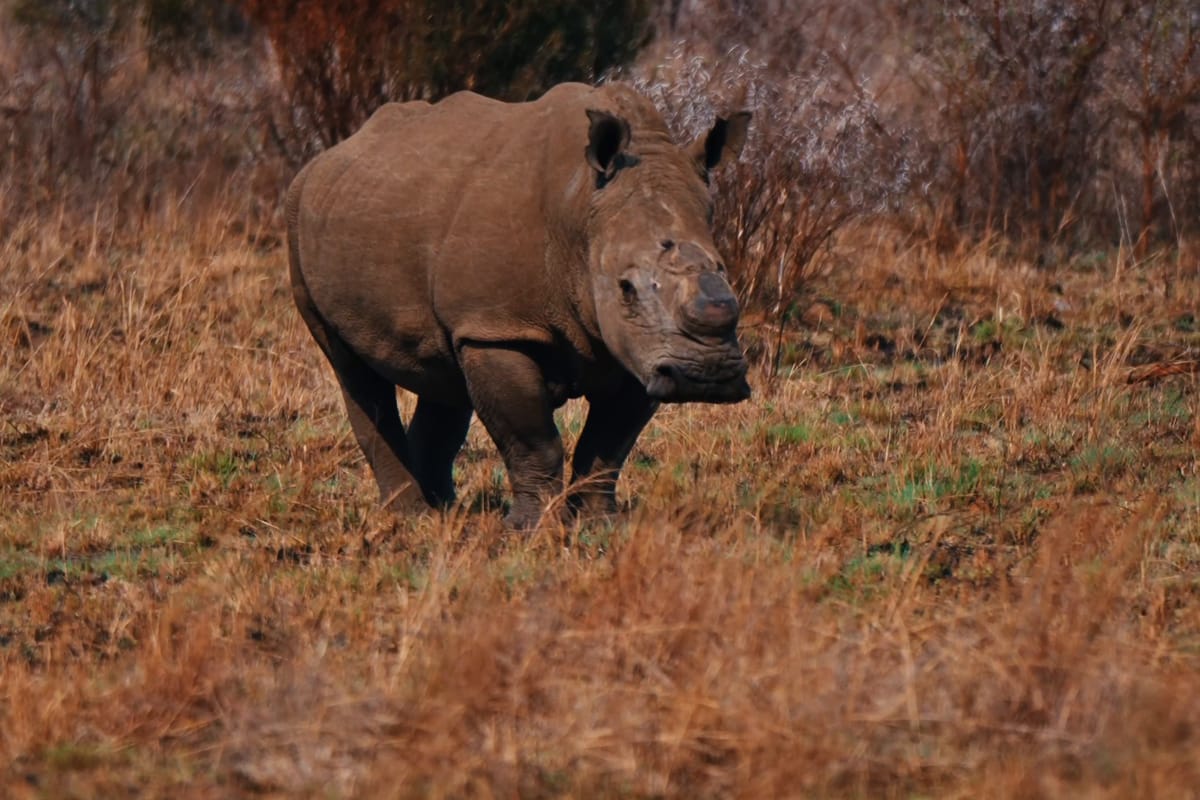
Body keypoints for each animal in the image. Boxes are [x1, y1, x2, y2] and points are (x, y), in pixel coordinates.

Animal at [286, 81, 751, 528]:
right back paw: (411, 517)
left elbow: (607, 446)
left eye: (724, 270)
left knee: (442, 375)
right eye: (626, 288)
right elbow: (534, 440)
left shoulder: (640, 350)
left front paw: (599, 525)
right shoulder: (499, 328)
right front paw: (530, 529)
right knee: (354, 372)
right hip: (298, 222)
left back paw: (445, 512)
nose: (708, 374)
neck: (581, 211)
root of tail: (331, 154)